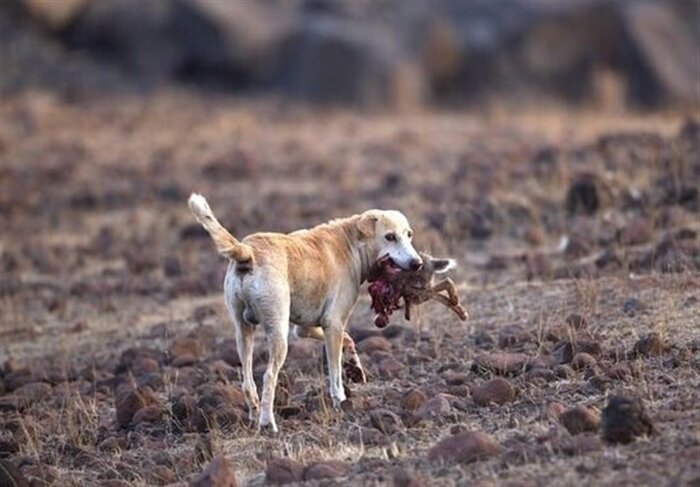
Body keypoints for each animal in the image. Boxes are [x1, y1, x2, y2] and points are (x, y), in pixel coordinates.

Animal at [186, 193, 422, 432]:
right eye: (390, 237)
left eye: (409, 234)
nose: (417, 263)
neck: (352, 243)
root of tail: (248, 251)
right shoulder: (333, 324)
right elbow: (335, 373)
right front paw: (340, 400)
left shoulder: (306, 328)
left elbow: (348, 339)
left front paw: (355, 367)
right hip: (278, 333)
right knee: (268, 377)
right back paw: (268, 423)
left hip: (243, 332)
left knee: (247, 381)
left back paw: (254, 415)